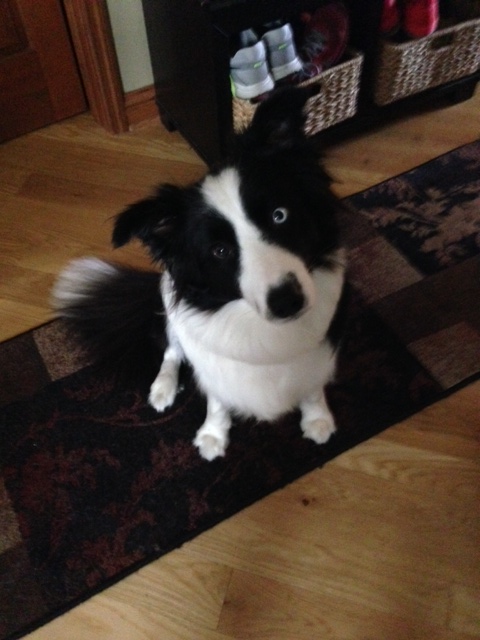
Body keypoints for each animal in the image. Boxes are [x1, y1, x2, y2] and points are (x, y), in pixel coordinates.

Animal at [52, 89, 344, 460]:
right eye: (220, 251)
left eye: (279, 215)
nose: (287, 302)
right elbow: (216, 396)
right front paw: (213, 434)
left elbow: (313, 379)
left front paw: (317, 417)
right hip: (171, 311)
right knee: (171, 350)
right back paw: (162, 387)